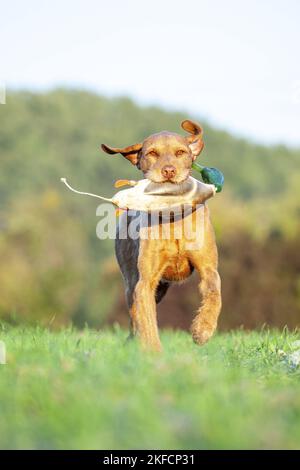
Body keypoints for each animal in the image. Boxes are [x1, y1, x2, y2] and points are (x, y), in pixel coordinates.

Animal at [102, 119, 221, 350]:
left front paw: (203, 329)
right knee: (134, 317)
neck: (172, 215)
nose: (168, 171)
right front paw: (152, 352)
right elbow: (147, 322)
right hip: (131, 281)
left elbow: (214, 294)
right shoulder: (145, 282)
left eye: (180, 152)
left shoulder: (208, 268)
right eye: (152, 153)